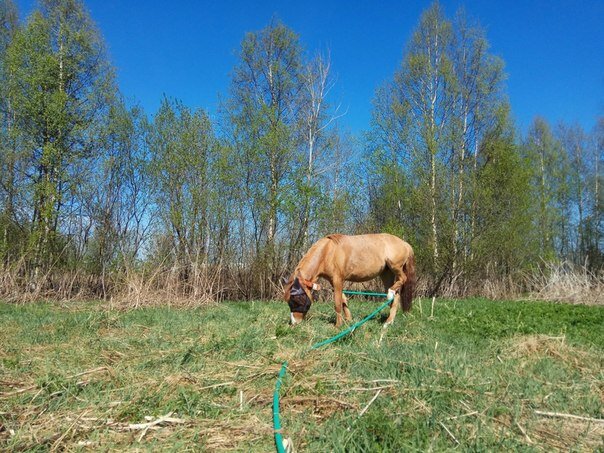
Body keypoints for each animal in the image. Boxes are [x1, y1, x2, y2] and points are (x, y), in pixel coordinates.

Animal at [284, 235, 416, 326]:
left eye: (296, 298)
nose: (294, 323)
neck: (327, 252)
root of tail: (405, 243)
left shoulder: (338, 279)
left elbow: (337, 303)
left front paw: (338, 326)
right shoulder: (334, 281)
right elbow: (343, 300)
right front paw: (348, 320)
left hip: (395, 267)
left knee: (402, 279)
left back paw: (390, 296)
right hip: (386, 273)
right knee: (396, 296)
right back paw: (388, 321)